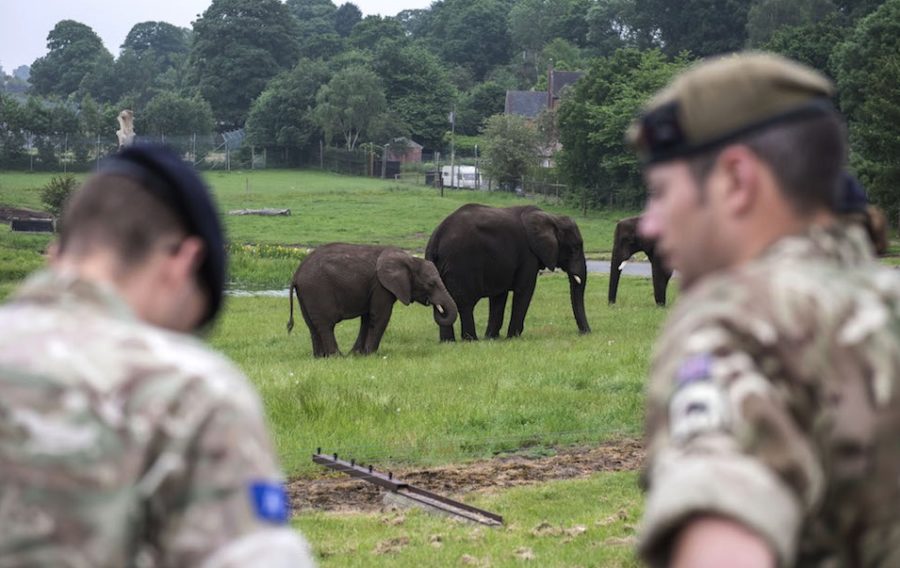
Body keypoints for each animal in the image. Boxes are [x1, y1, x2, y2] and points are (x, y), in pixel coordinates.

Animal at [288, 242, 458, 358]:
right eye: (431, 284)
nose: (436, 305)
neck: (409, 259)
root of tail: (296, 274)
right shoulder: (381, 286)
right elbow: (380, 317)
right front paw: (370, 355)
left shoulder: (373, 288)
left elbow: (367, 318)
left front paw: (358, 355)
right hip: (317, 290)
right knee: (326, 325)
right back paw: (336, 357)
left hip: (306, 294)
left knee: (312, 325)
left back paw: (320, 358)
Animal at [428, 203, 592, 342]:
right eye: (575, 248)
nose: (585, 333)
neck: (552, 217)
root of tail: (436, 237)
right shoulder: (528, 256)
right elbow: (524, 291)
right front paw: (512, 337)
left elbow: (499, 297)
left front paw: (492, 338)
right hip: (461, 265)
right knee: (465, 304)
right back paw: (470, 340)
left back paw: (448, 342)